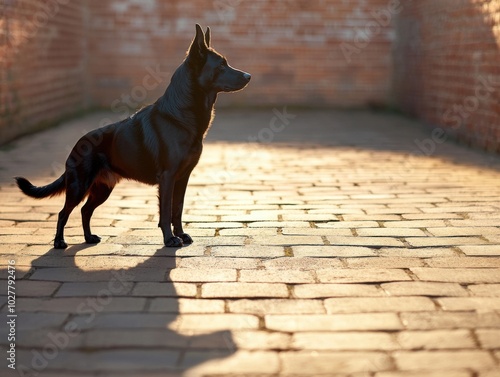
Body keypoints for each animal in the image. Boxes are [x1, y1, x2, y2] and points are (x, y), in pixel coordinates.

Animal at [15, 23, 250, 247]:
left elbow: (178, 209)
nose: (248, 76)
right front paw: (170, 240)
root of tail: (78, 145)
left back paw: (89, 238)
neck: (181, 115)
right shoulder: (168, 177)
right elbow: (166, 212)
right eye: (221, 66)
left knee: (85, 210)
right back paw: (58, 242)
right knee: (63, 213)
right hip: (79, 186)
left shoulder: (182, 178)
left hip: (102, 189)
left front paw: (181, 235)